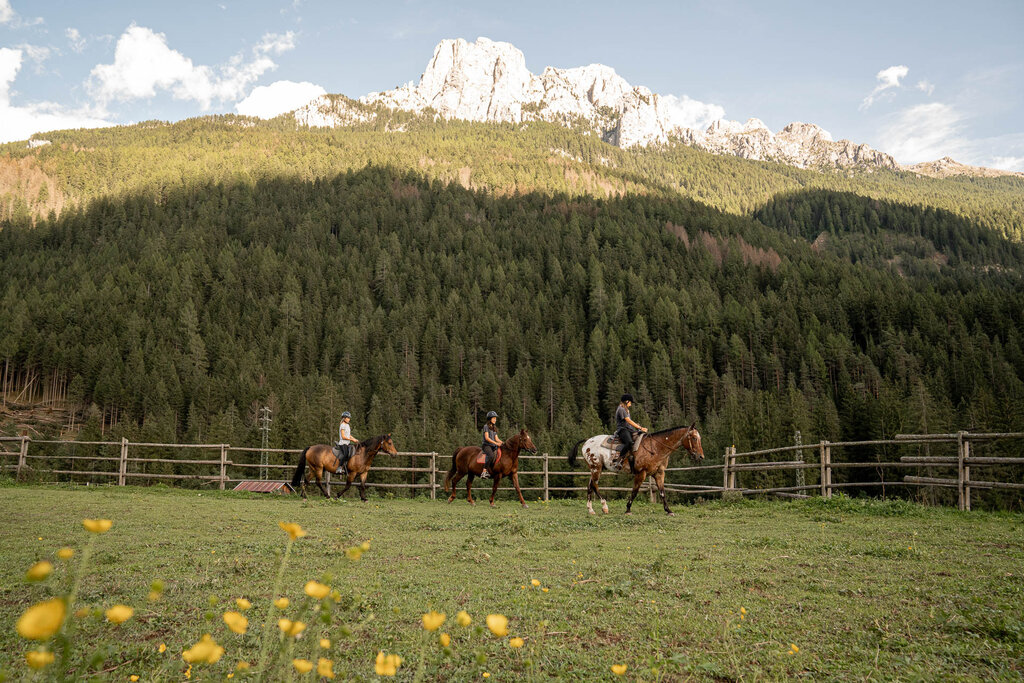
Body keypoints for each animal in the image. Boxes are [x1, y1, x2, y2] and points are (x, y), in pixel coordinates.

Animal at [568, 423, 704, 516]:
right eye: (694, 438)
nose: (700, 456)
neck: (655, 447)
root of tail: (587, 441)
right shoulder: (641, 473)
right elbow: (635, 491)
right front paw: (628, 509)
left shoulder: (659, 473)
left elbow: (662, 492)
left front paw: (668, 510)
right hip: (596, 468)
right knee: (595, 485)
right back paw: (604, 507)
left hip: (595, 469)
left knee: (590, 485)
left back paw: (591, 509)